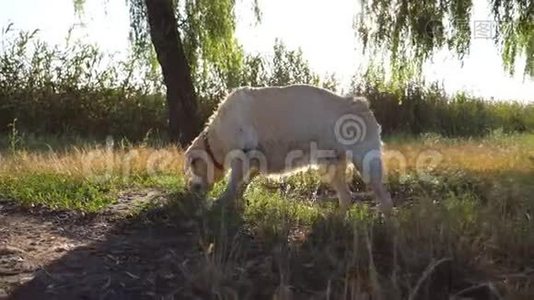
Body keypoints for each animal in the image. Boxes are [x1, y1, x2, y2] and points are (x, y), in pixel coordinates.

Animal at [184, 84, 394, 213]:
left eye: (193, 165)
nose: (191, 189)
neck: (217, 137)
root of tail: (362, 104)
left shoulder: (241, 156)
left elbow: (232, 184)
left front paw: (220, 203)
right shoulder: (255, 160)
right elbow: (243, 183)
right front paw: (236, 201)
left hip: (366, 164)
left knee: (385, 200)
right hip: (332, 166)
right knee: (346, 198)